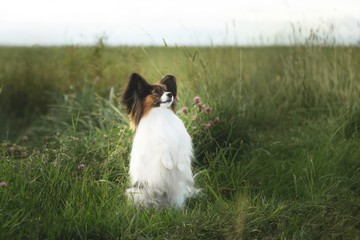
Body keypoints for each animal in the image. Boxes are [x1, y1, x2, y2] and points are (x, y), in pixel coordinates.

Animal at [122, 73, 198, 210]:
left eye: (167, 90)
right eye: (156, 92)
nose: (170, 94)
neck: (160, 113)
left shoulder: (181, 139)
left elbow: (181, 153)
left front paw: (180, 166)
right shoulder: (156, 142)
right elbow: (163, 148)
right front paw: (169, 164)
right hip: (139, 193)